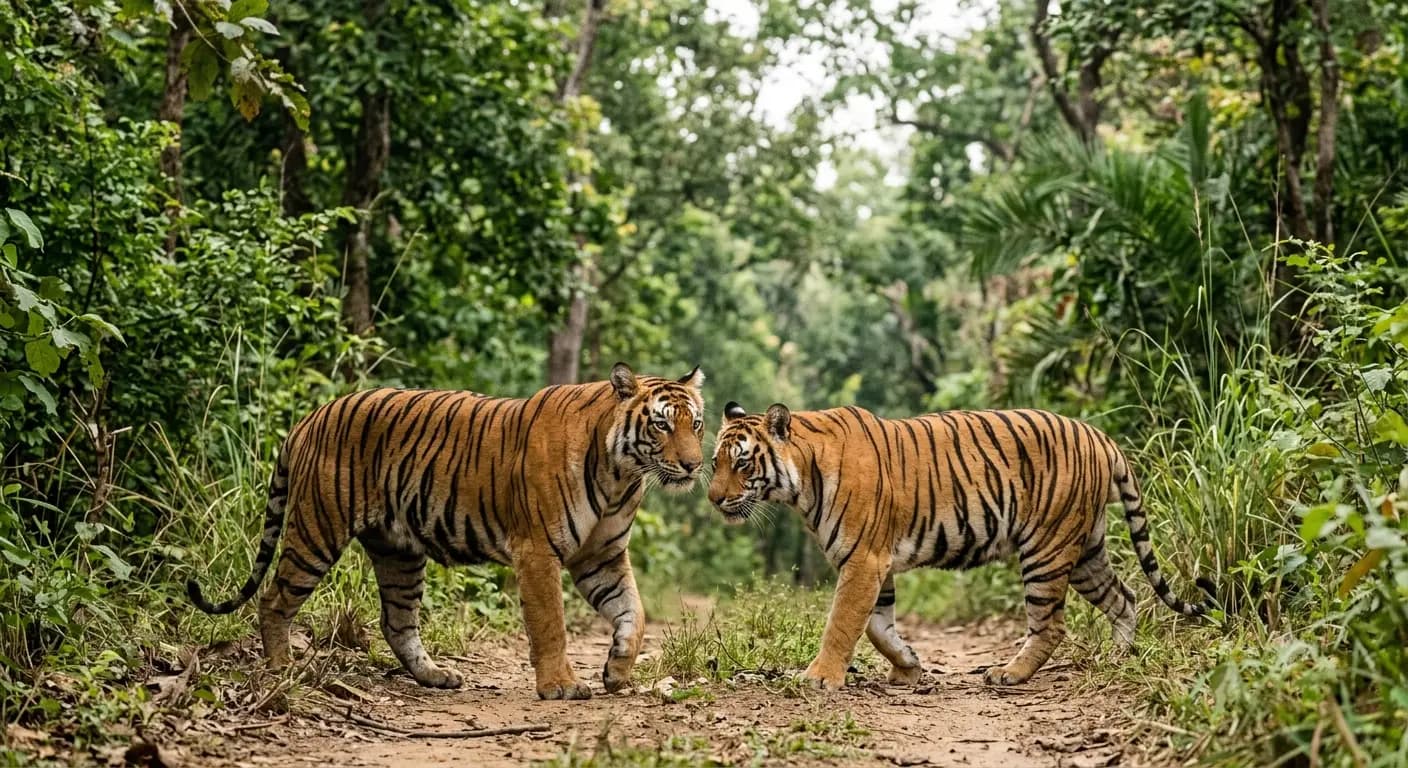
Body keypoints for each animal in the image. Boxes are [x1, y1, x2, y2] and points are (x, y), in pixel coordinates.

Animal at [188, 363, 706, 700]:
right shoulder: (537, 550)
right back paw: (281, 669)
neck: (622, 475)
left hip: (398, 552)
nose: (694, 465)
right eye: (661, 425)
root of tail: (310, 417)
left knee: (397, 622)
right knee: (274, 599)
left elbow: (634, 614)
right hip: (317, 529)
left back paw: (436, 677)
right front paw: (560, 686)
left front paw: (616, 671)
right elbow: (551, 624)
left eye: (697, 424)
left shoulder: (601, 557)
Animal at [706, 402, 1215, 689]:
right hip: (1086, 547)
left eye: (742, 463)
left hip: (1046, 549)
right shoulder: (877, 565)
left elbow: (842, 624)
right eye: (716, 463)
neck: (802, 481)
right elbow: (877, 628)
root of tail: (1100, 436)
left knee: (1051, 625)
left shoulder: (864, 560)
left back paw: (1009, 674)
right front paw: (908, 669)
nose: (713, 498)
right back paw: (1118, 657)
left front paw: (819, 678)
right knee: (1124, 597)